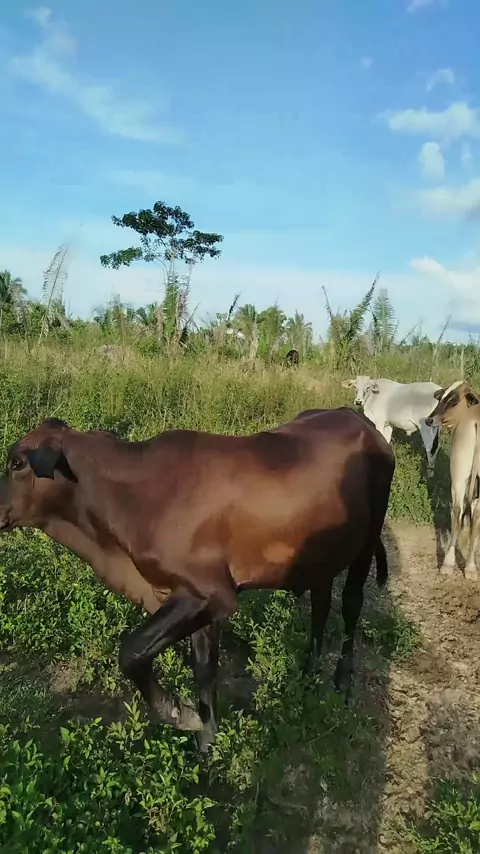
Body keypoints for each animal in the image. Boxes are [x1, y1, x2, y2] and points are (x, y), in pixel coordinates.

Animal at [0, 410, 395, 751]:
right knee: (320, 604)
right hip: (321, 555)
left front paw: (178, 713)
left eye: (17, 463)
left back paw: (341, 680)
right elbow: (204, 668)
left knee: (351, 605)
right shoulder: (190, 597)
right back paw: (308, 671)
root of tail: (359, 418)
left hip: (365, 542)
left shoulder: (211, 595)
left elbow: (132, 651)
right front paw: (207, 740)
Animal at [425, 380, 480, 580]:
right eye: (441, 397)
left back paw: (447, 564)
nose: (429, 420)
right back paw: (471, 567)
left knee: (457, 511)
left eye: (453, 401)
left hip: (458, 474)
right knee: (475, 515)